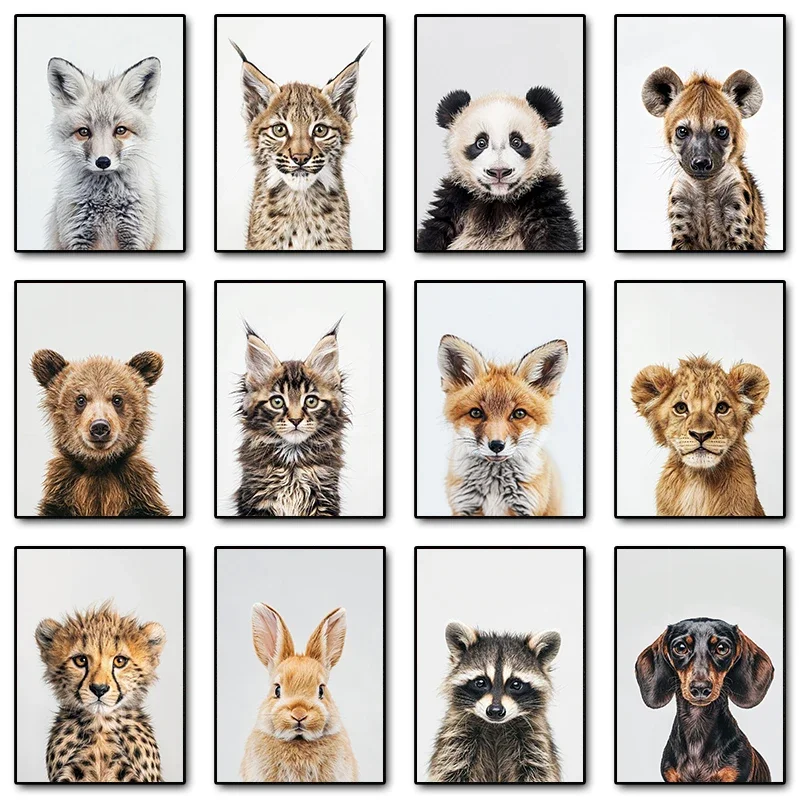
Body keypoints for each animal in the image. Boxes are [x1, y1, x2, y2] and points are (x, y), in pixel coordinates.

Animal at [31, 349, 170, 517]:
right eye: (81, 399)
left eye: (117, 399)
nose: (99, 427)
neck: (99, 466)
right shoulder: (64, 489)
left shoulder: (136, 489)